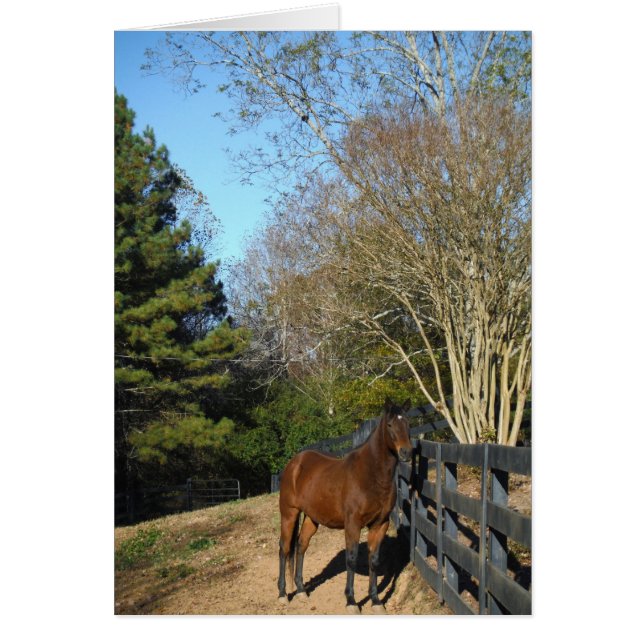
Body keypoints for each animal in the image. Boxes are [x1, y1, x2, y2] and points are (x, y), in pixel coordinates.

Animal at [277, 398, 412, 614]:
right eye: (390, 424)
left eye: (408, 423)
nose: (406, 452)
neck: (370, 475)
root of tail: (294, 463)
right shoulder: (353, 525)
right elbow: (351, 558)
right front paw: (351, 601)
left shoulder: (380, 524)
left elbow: (374, 560)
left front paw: (375, 601)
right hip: (289, 514)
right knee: (284, 548)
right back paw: (283, 594)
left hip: (311, 518)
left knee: (301, 546)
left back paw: (300, 591)